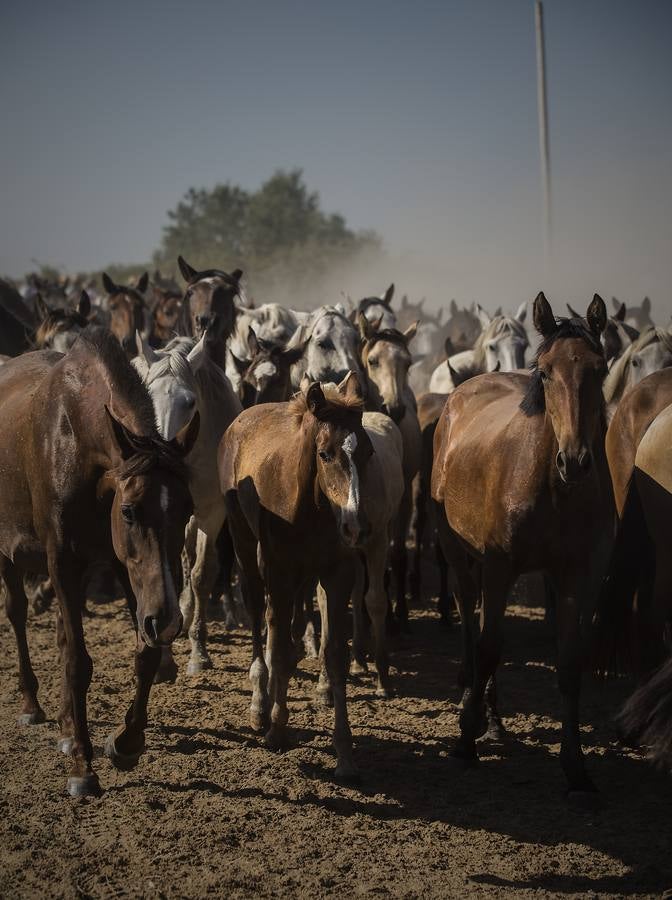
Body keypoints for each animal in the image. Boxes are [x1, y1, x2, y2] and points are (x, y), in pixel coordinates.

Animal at [0, 328, 197, 796]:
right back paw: (32, 703)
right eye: (129, 511)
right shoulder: (62, 564)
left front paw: (125, 741)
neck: (76, 440)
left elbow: (144, 655)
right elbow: (78, 662)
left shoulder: (126, 570)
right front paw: (82, 767)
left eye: (187, 509)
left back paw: (67, 727)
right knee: (17, 614)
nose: (169, 620)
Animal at [220, 376, 378, 776]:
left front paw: (345, 751)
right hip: (245, 544)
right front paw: (276, 728)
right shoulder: (278, 571)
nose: (357, 526)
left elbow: (334, 655)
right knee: (260, 616)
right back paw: (261, 704)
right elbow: (275, 644)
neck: (312, 507)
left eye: (368, 452)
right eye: (325, 454)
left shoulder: (337, 575)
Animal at [430, 294, 616, 796]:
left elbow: (569, 663)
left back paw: (492, 719)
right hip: (458, 552)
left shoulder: (577, 575)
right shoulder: (499, 567)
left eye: (599, 369)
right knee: (472, 628)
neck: (553, 488)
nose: (574, 460)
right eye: (546, 371)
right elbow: (490, 647)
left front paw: (576, 768)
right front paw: (464, 740)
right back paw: (473, 709)